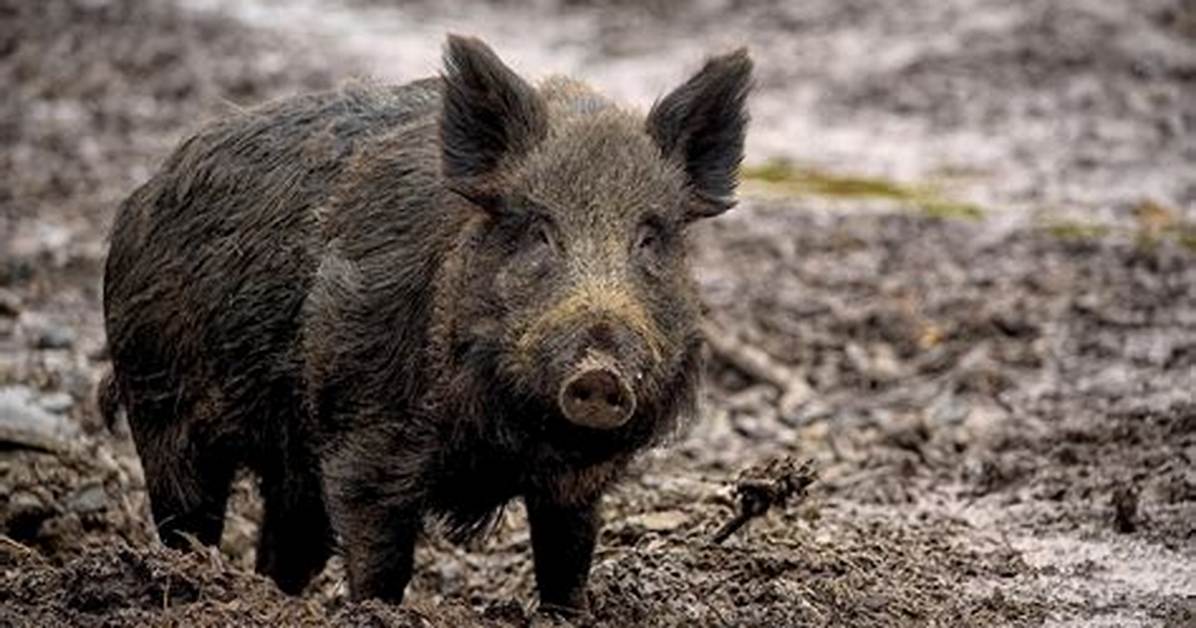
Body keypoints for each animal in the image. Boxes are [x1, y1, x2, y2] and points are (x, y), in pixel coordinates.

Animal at [101, 35, 751, 612]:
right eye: (539, 230)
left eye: (650, 236)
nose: (599, 373)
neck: (503, 438)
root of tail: (143, 193)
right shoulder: (368, 433)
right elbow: (380, 554)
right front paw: (375, 611)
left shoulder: (576, 483)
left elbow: (567, 561)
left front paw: (572, 612)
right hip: (161, 402)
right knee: (187, 516)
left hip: (289, 460)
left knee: (287, 544)